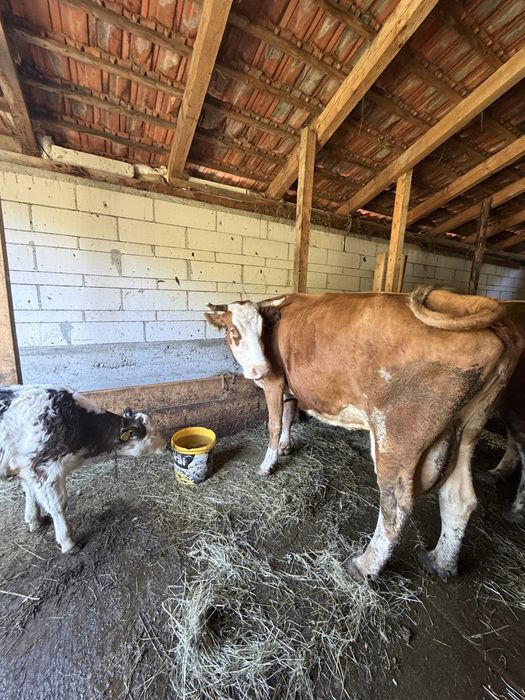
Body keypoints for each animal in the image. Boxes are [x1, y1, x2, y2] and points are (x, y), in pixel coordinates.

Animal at [0, 385, 166, 553]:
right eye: (152, 437)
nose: (166, 445)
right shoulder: (46, 470)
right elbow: (58, 506)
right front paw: (68, 542)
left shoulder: (26, 468)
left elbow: (30, 493)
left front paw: (34, 521)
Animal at [205, 288, 521, 581]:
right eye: (234, 330)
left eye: (261, 332)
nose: (259, 368)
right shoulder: (289, 385)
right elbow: (288, 415)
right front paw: (285, 447)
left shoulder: (273, 382)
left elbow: (274, 423)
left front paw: (267, 464)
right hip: (468, 428)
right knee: (460, 499)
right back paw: (440, 562)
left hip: (395, 437)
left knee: (397, 506)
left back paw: (365, 566)